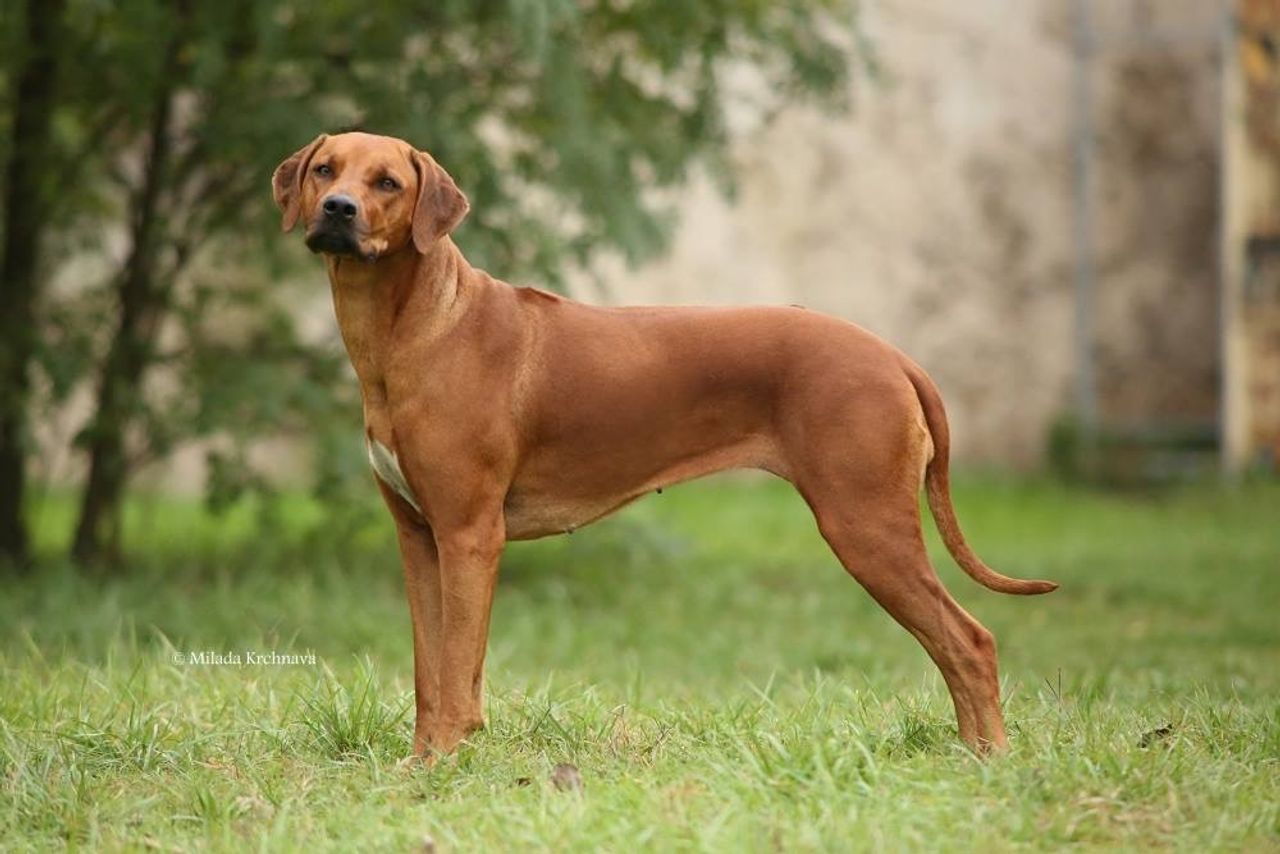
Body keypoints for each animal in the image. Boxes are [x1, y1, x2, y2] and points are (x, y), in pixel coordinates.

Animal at [272, 130, 1059, 757]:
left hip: (865, 525)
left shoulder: (469, 535)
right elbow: (430, 674)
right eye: (326, 169)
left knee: (970, 642)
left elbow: (458, 674)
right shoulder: (419, 538)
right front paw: (421, 763)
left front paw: (443, 768)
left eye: (387, 183)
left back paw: (990, 760)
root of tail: (892, 354)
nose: (337, 209)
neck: (418, 327)